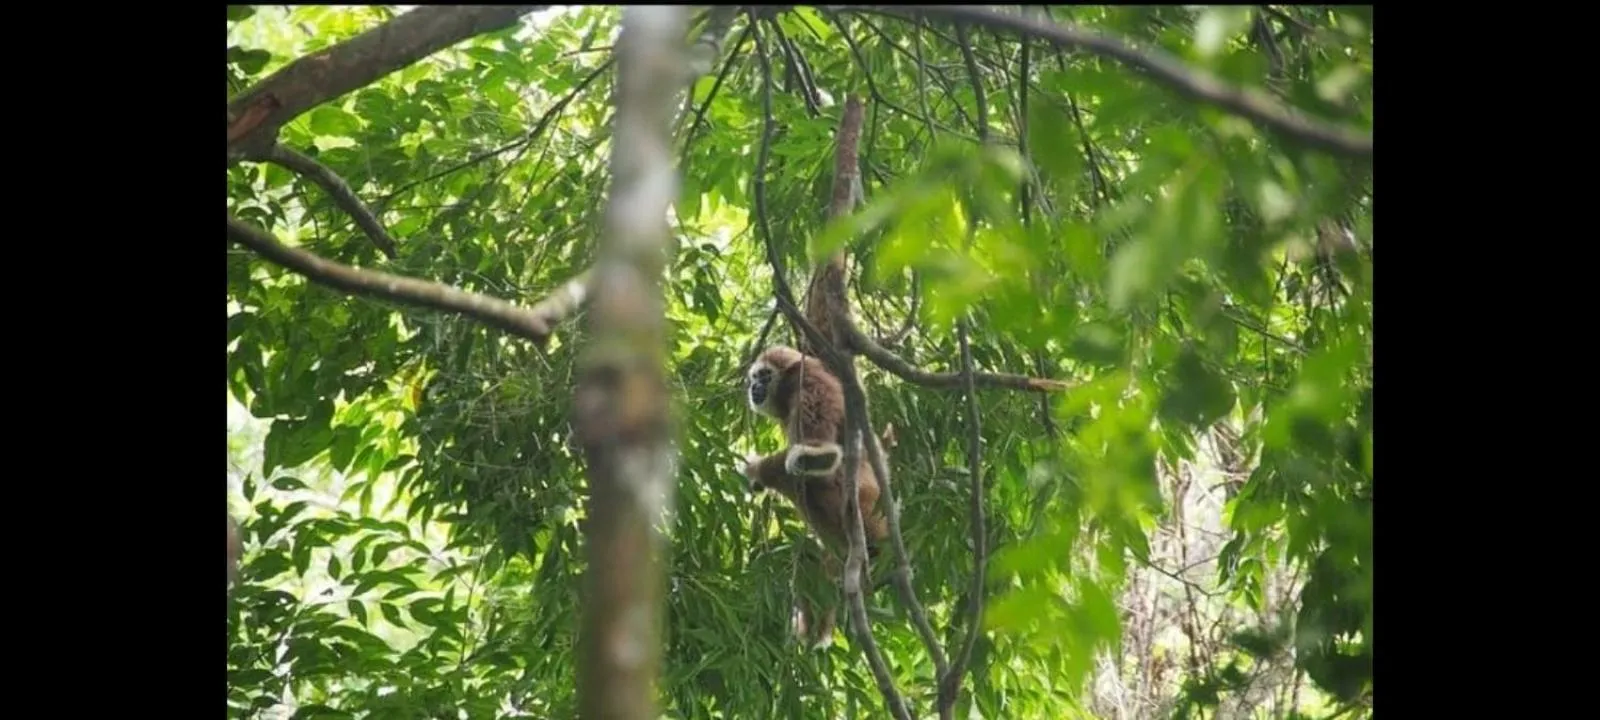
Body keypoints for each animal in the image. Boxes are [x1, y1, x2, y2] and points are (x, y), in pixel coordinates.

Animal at [740, 344, 890, 647]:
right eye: (755, 378)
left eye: (764, 375)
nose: (754, 386)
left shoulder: (808, 385)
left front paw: (755, 470)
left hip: (860, 505)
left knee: (810, 479)